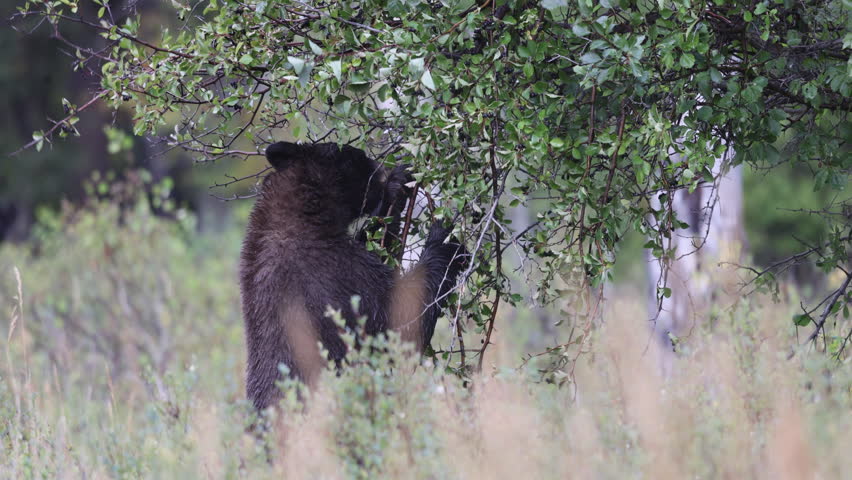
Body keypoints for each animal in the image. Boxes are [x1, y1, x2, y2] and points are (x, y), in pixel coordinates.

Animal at [240, 141, 467, 411]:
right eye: (359, 157)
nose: (383, 169)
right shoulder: (332, 276)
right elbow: (396, 319)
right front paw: (446, 239)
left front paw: (397, 186)